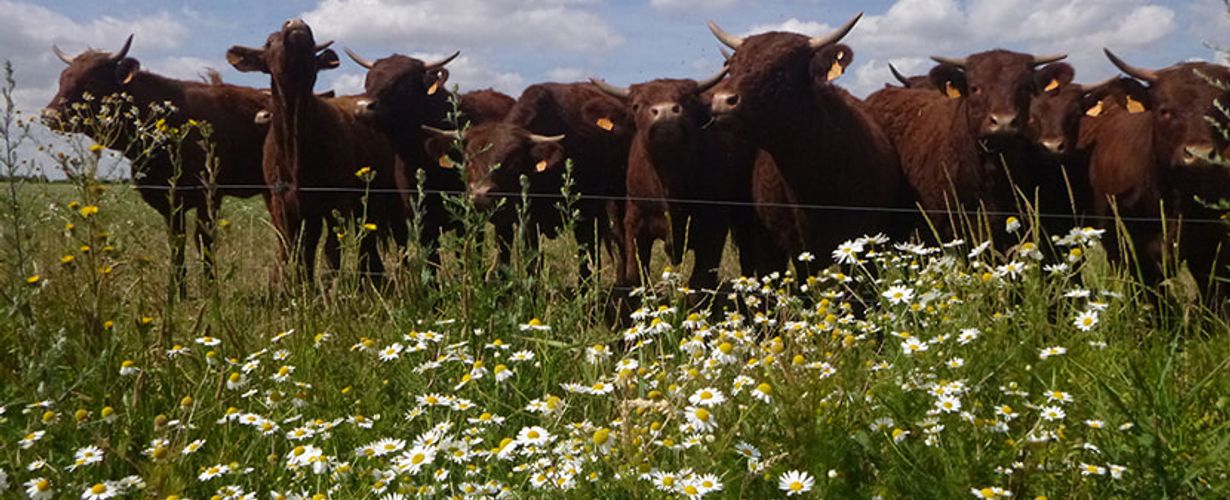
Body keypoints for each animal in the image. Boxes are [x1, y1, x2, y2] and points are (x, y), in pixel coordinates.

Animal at [42, 35, 270, 297]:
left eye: (90, 79)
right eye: (62, 78)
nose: (48, 115)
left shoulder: (209, 195)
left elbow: (204, 240)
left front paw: (210, 290)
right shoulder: (168, 201)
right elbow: (176, 240)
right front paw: (177, 291)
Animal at [226, 19, 397, 286]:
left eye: (314, 40)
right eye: (269, 41)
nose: (296, 22)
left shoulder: (336, 202)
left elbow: (331, 249)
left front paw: (329, 287)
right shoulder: (282, 203)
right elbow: (291, 247)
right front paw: (293, 285)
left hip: (374, 195)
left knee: (367, 237)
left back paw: (372, 278)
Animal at [342, 49, 514, 271]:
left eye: (403, 83)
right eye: (368, 81)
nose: (363, 107)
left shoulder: (467, 216)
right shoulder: (422, 219)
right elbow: (431, 261)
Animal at [423, 82, 633, 283]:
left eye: (514, 162)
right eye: (468, 160)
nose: (481, 195)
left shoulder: (585, 216)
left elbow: (586, 263)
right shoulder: (524, 222)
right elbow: (529, 263)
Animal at [590, 69, 737, 290]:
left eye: (688, 99)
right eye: (636, 105)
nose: (666, 111)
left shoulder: (714, 226)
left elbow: (700, 280)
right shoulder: (635, 224)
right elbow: (636, 274)